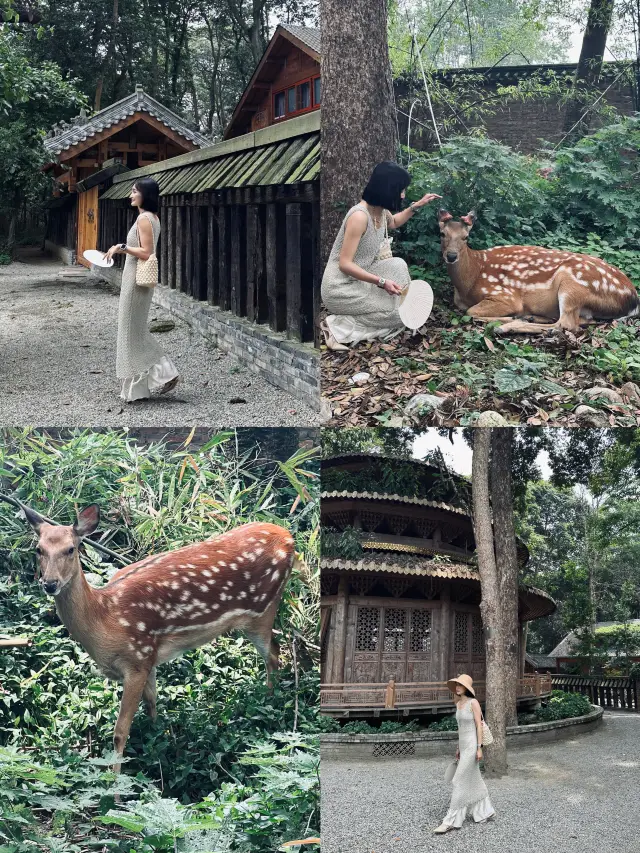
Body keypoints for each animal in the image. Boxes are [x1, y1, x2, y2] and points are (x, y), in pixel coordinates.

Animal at [23, 502, 298, 768]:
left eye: (71, 549)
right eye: (38, 549)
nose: (49, 583)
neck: (105, 617)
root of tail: (288, 537)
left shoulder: (135, 659)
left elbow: (120, 732)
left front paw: (115, 779)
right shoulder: (149, 656)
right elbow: (152, 702)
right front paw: (158, 738)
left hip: (262, 608)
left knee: (274, 652)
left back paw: (269, 701)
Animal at [440, 210, 640, 332]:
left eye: (466, 237)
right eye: (442, 234)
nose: (451, 256)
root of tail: (633, 298)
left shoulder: (505, 295)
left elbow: (471, 312)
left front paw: (510, 318)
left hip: (572, 284)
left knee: (565, 324)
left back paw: (509, 325)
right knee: (582, 321)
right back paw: (529, 318)